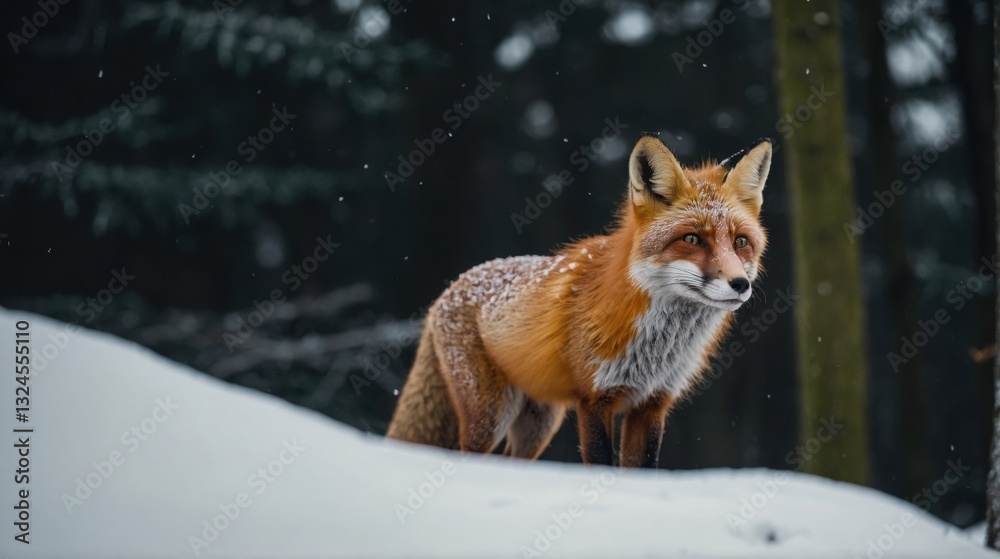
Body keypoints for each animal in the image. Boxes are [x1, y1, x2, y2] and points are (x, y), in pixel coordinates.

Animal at [387, 132, 772, 468]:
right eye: (691, 239)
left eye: (740, 241)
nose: (740, 284)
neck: (658, 346)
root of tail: (450, 287)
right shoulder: (594, 399)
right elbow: (602, 465)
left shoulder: (652, 403)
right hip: (490, 416)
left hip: (539, 422)